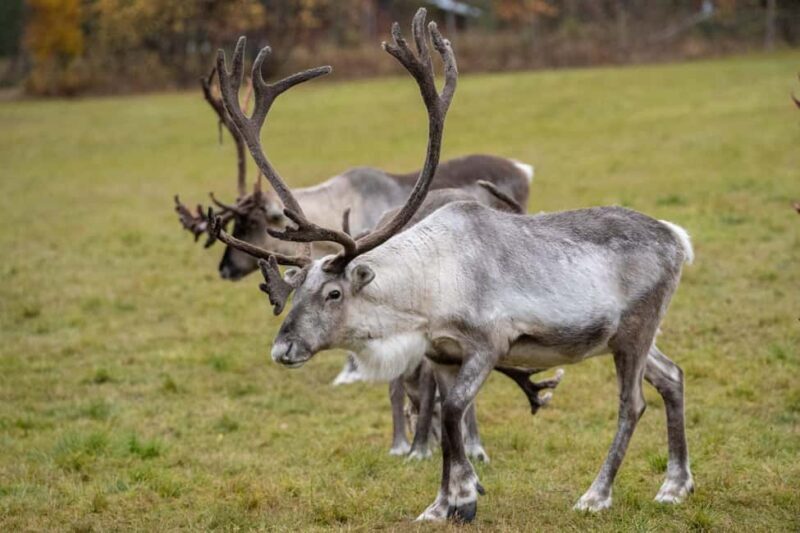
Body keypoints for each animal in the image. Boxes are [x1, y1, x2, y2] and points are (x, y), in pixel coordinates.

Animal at [175, 29, 561, 461]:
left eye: (251, 223)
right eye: (295, 294)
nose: (224, 268)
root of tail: (523, 168)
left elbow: (430, 383)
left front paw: (423, 446)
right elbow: (398, 384)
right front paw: (402, 442)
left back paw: (470, 443)